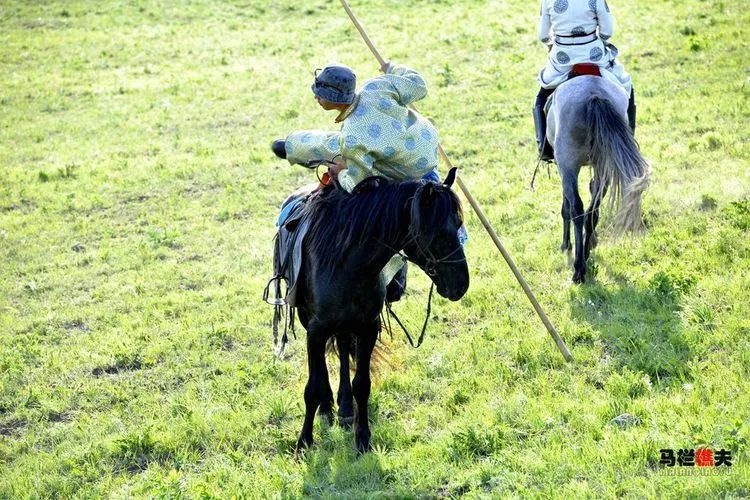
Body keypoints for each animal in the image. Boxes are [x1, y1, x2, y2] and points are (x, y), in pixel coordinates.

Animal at [294, 168, 470, 454]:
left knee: (343, 349)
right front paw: (304, 442)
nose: (461, 285)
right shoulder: (316, 330)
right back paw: (328, 407)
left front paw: (363, 439)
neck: (348, 263)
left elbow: (362, 385)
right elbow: (313, 386)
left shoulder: (367, 327)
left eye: (458, 226)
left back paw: (344, 407)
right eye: (440, 234)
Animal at [548, 75, 648, 284]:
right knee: (592, 210)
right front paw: (591, 241)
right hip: (604, 163)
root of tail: (594, 94)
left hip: (569, 164)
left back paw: (578, 268)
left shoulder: (563, 167)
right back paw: (585, 254)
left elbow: (566, 207)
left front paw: (566, 245)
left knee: (577, 209)